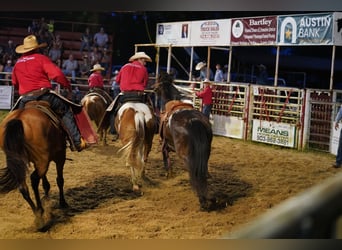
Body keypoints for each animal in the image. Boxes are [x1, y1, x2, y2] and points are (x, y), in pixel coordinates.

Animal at [0, 100, 68, 231]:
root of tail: (19, 118)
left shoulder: (40, 161)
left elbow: (45, 180)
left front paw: (47, 195)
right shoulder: (59, 157)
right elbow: (60, 180)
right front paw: (62, 202)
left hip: (22, 162)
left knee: (23, 187)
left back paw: (37, 214)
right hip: (44, 160)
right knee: (34, 179)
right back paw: (40, 216)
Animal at [154, 72, 215, 211]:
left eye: (158, 83)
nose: (153, 88)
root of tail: (193, 120)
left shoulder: (164, 144)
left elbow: (166, 159)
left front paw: (168, 174)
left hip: (185, 155)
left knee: (194, 171)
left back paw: (203, 200)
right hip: (206, 152)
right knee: (202, 170)